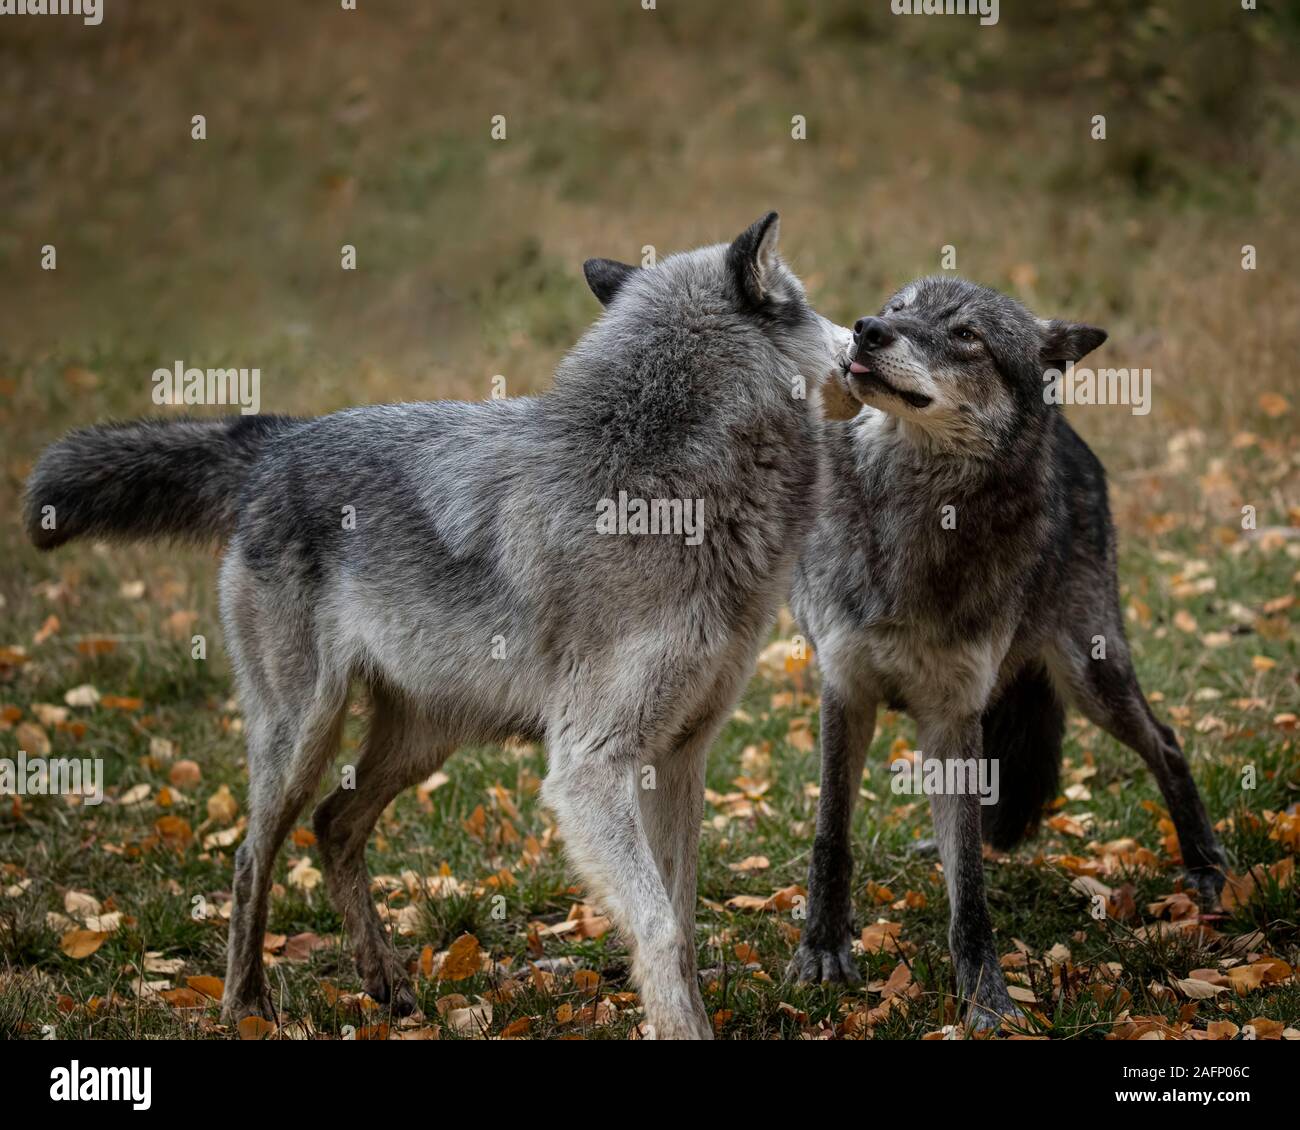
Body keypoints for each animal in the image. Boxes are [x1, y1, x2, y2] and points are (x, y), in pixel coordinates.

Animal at [27, 213, 852, 1040]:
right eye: (810, 304)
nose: (860, 334)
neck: (667, 481)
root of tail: (277, 440)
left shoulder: (678, 756)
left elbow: (681, 920)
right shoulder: (590, 767)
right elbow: (659, 927)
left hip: (423, 740)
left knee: (333, 824)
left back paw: (386, 982)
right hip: (302, 739)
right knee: (249, 859)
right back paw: (247, 1005)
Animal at [785, 278, 1222, 1029]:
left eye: (967, 335)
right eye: (897, 308)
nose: (868, 330)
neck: (916, 512)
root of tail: (1071, 435)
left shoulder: (951, 713)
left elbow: (970, 891)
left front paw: (984, 996)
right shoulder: (846, 691)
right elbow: (830, 836)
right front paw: (822, 950)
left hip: (1089, 675)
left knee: (1165, 741)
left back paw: (1204, 865)